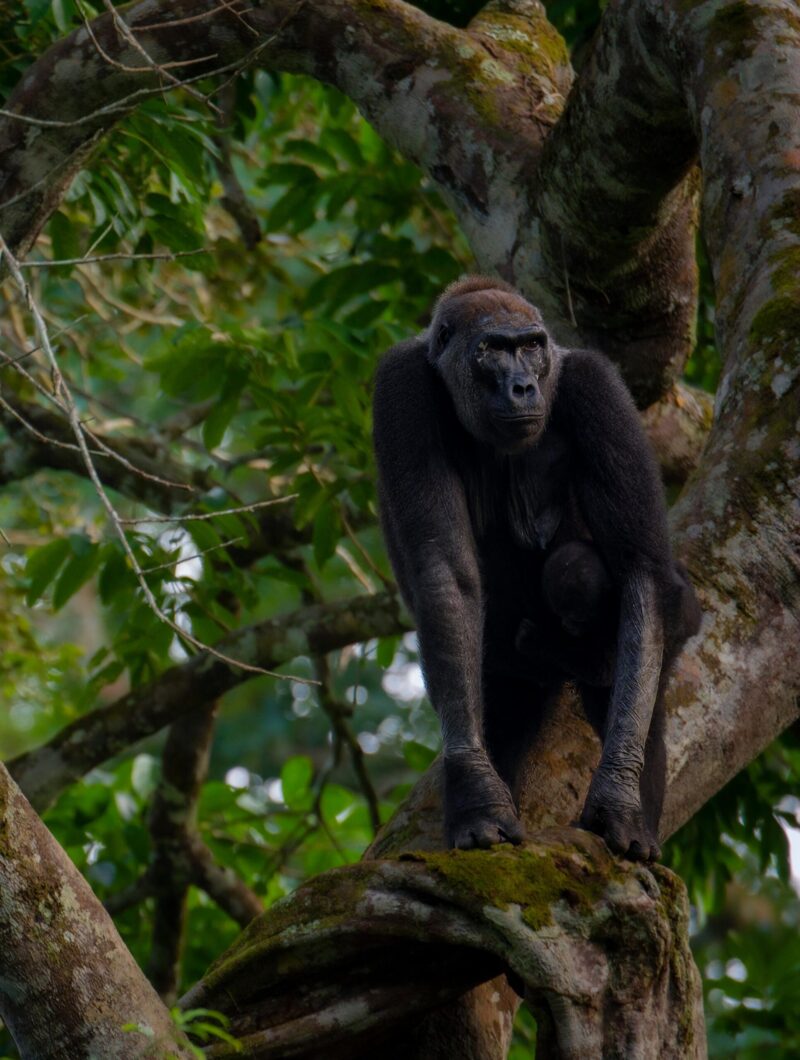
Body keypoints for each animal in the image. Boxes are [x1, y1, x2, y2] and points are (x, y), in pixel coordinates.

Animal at [372, 276, 701, 861]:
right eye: (492, 350)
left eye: (530, 346)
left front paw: (619, 798)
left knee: (603, 598)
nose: (523, 386)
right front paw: (478, 795)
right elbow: (447, 576)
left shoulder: (597, 386)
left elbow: (639, 566)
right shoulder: (400, 386)